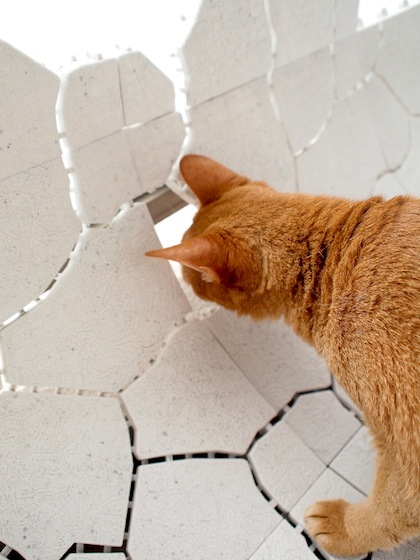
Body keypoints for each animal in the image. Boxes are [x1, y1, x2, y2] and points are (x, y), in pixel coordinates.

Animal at [146, 154, 420, 556]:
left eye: (192, 276)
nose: (184, 280)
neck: (335, 251)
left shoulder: (403, 448)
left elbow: (389, 509)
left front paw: (345, 529)